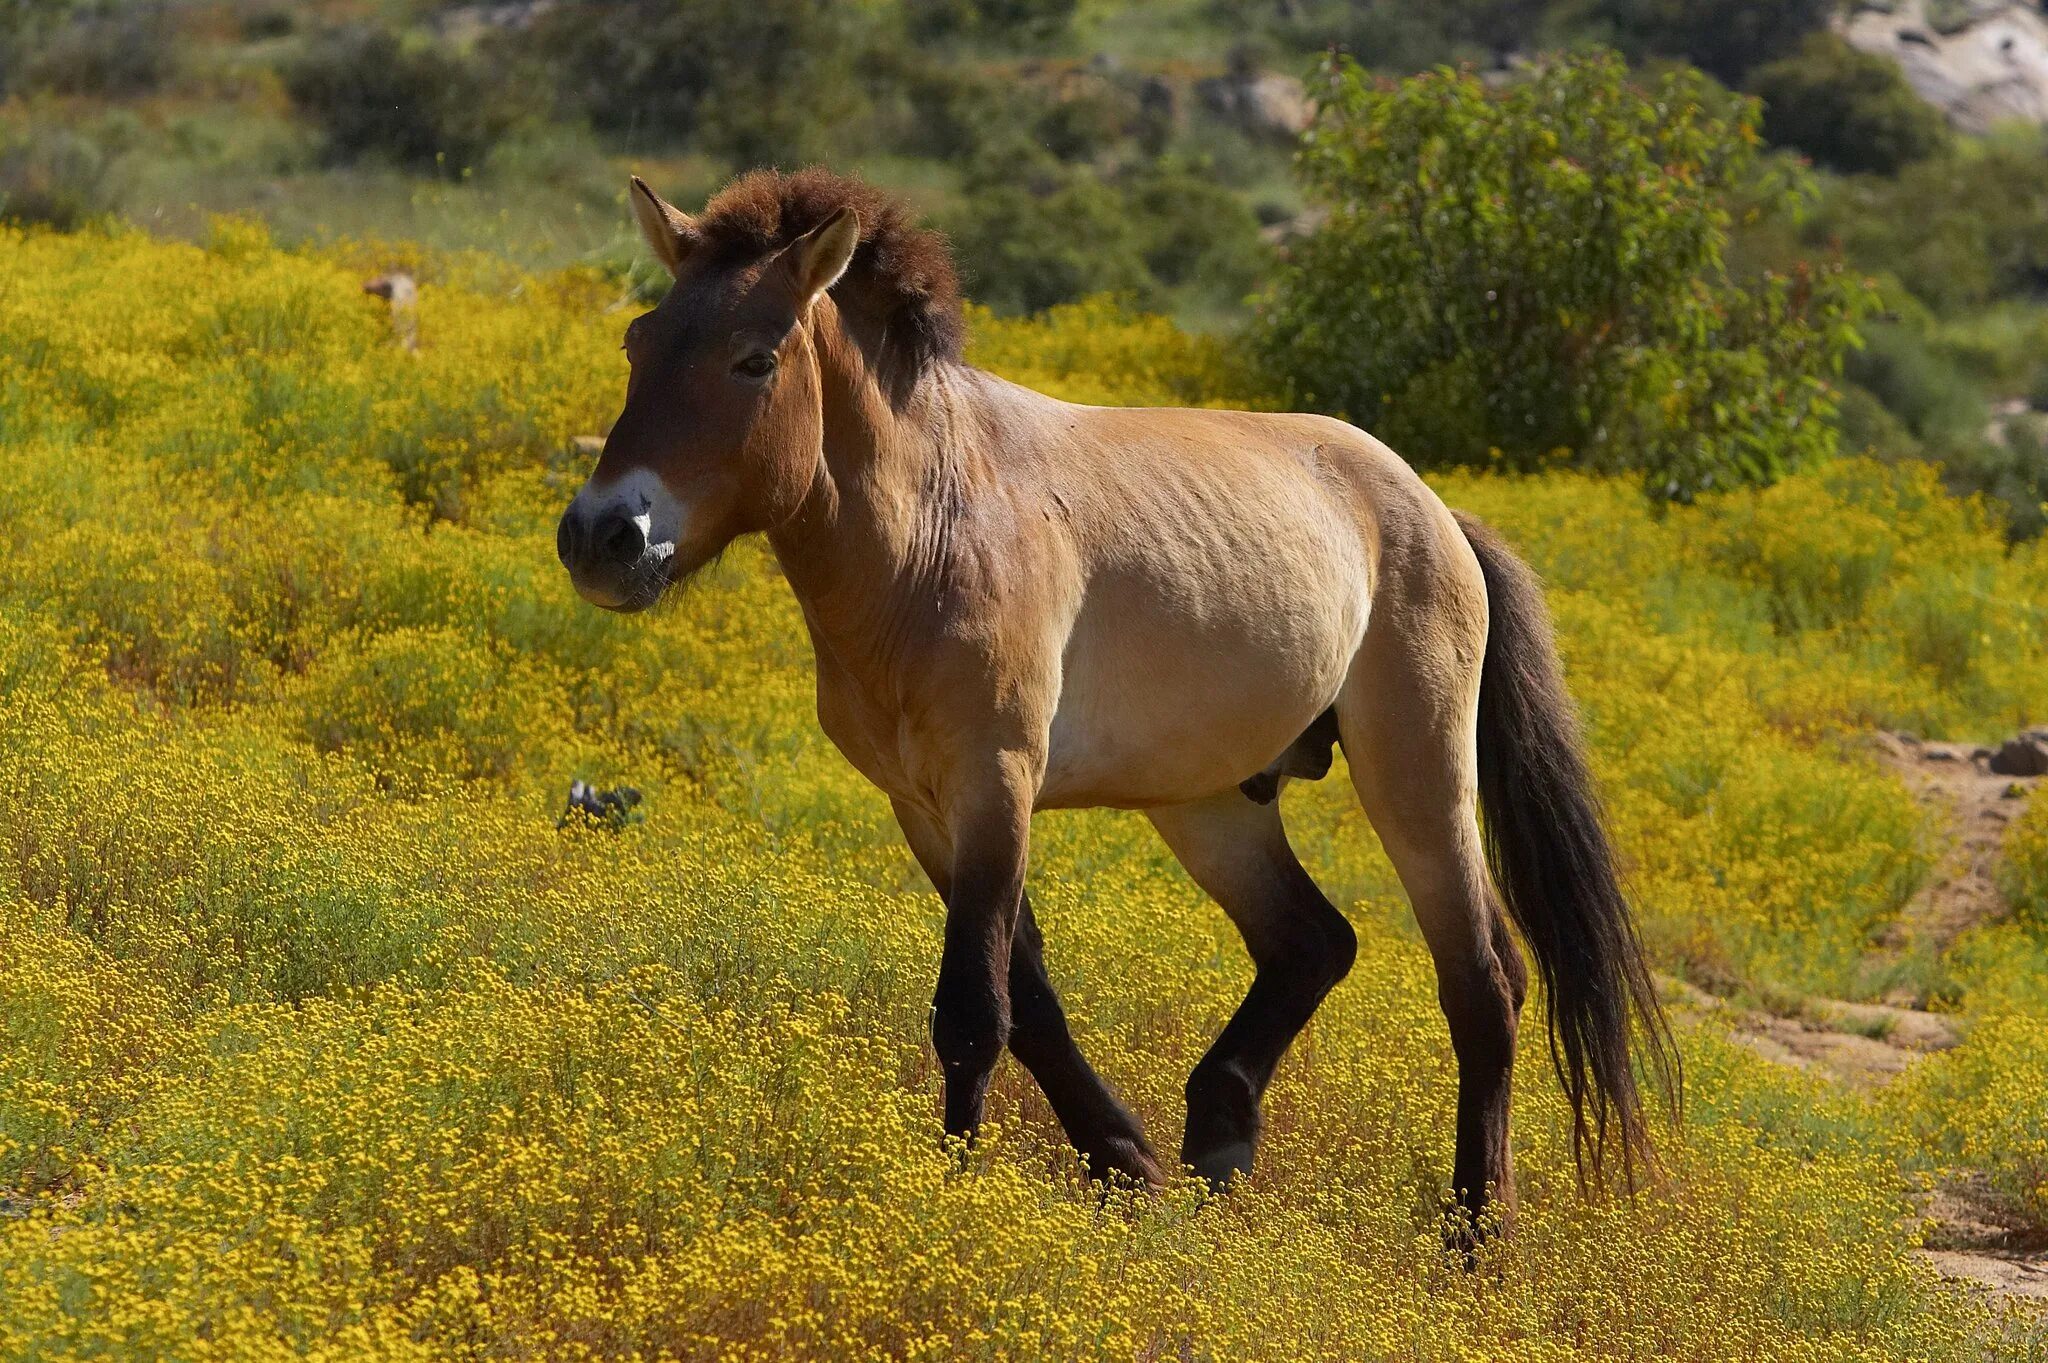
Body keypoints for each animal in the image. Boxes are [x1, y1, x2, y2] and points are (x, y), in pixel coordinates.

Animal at [557, 164, 1679, 1227]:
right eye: (638, 341)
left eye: (754, 357)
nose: (604, 537)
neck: (936, 525)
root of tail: (1436, 513)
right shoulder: (925, 807)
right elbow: (1030, 998)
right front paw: (1122, 1162)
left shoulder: (995, 782)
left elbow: (973, 1009)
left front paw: (953, 1188)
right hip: (1212, 803)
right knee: (1312, 942)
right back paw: (1218, 1139)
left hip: (1417, 775)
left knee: (1482, 980)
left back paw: (1473, 1231)